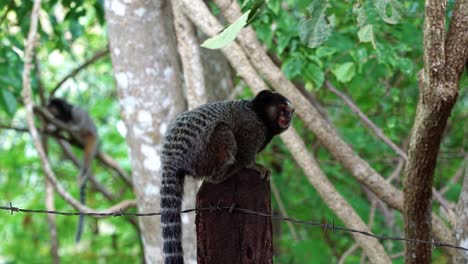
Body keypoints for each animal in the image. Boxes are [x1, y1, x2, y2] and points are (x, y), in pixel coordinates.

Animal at [47, 98, 98, 242]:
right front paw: (53, 128)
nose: (47, 107)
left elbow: (77, 119)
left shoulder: (75, 112)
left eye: (53, 106)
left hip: (90, 134)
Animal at [160, 90, 292, 264]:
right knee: (223, 130)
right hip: (202, 154)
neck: (259, 114)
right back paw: (225, 173)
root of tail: (171, 158)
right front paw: (253, 166)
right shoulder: (253, 128)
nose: (288, 117)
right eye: (282, 109)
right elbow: (245, 151)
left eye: (289, 111)